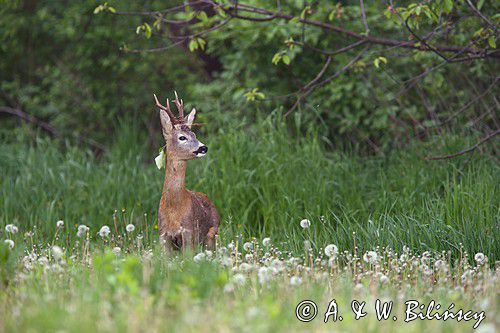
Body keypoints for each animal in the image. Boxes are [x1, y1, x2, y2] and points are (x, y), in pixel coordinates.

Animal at [154, 91, 221, 252]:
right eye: (182, 137)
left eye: (195, 135)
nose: (203, 148)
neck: (173, 209)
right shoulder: (163, 234)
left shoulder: (189, 231)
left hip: (212, 235)